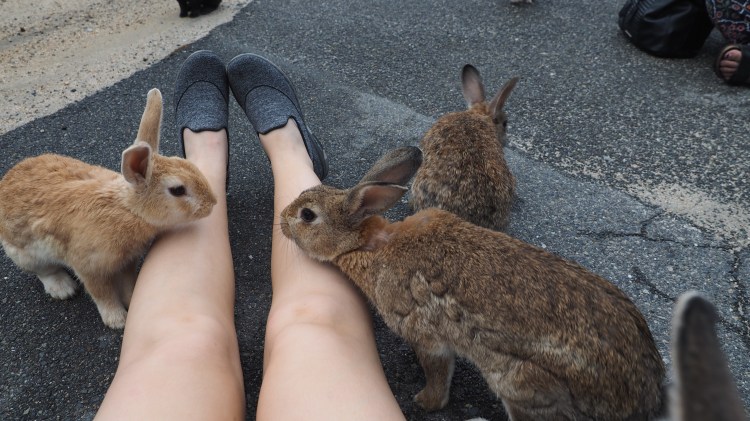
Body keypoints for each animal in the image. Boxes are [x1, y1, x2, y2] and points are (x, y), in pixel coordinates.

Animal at [0, 88, 216, 329]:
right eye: (178, 190)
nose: (212, 203)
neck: (128, 210)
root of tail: (6, 181)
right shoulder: (89, 267)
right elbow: (102, 294)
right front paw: (118, 320)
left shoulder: (126, 262)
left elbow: (128, 283)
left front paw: (132, 301)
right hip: (25, 253)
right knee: (44, 271)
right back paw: (63, 288)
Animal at [280, 146, 666, 420]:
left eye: (307, 216)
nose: (282, 220)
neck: (368, 243)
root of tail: (645, 397)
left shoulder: (426, 335)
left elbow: (437, 371)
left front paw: (425, 402)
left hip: (523, 386)